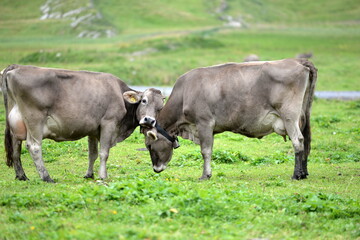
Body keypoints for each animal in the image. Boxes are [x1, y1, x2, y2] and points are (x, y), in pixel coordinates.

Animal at [1, 63, 165, 182]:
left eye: (160, 108)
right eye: (144, 100)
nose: (149, 120)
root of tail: (16, 67)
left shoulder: (93, 129)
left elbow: (92, 154)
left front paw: (89, 174)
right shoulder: (109, 123)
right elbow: (104, 152)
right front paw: (103, 176)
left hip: (16, 122)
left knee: (15, 147)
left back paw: (21, 176)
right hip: (35, 119)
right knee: (34, 147)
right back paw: (46, 177)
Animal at [141, 58, 318, 180]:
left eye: (149, 145)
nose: (156, 169)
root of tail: (298, 61)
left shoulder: (204, 122)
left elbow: (206, 151)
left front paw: (205, 175)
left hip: (289, 116)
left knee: (298, 141)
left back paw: (296, 175)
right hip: (302, 115)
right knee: (305, 141)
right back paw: (304, 172)